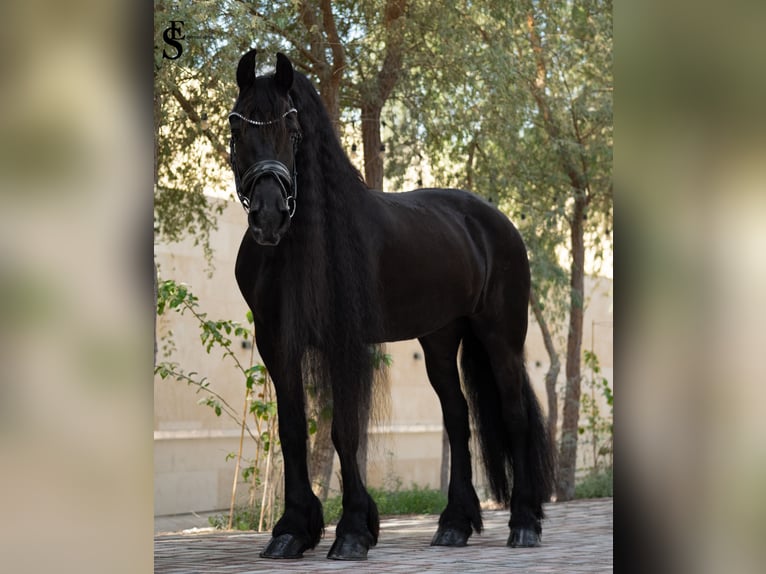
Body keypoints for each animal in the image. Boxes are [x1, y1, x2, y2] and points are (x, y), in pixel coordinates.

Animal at [229, 49, 555, 561]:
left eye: (293, 131)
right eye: (238, 128)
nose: (269, 216)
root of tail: (496, 221)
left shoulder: (343, 341)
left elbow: (344, 430)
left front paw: (353, 531)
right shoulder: (276, 341)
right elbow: (292, 431)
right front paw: (291, 531)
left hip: (499, 335)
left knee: (514, 414)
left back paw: (523, 523)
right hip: (440, 338)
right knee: (457, 418)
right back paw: (453, 525)